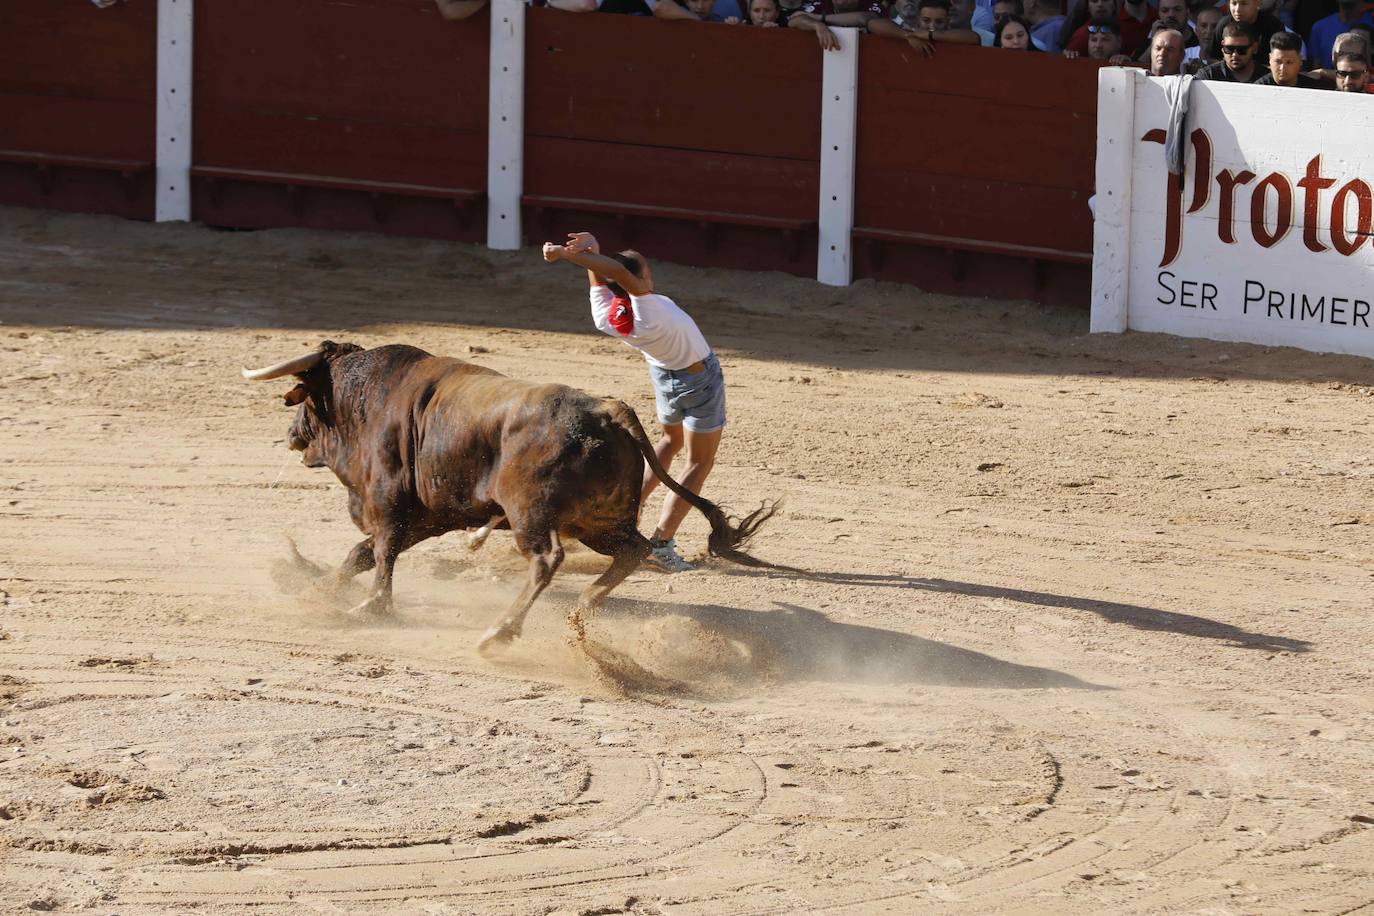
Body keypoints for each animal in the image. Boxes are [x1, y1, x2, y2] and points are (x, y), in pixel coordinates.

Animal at [243, 341, 780, 650]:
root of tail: (612, 412)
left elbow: (381, 552)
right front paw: (317, 591)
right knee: (633, 549)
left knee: (547, 559)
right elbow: (362, 552)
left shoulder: (389, 501)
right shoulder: (428, 516)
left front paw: (370, 607)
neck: (367, 396)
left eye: (304, 393)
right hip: (599, 521)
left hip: (532, 514)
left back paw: (500, 631)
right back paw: (582, 608)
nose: (292, 435)